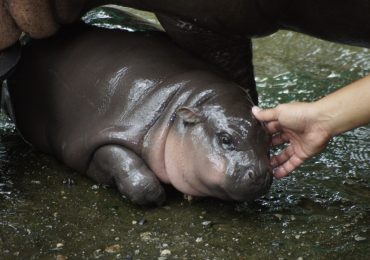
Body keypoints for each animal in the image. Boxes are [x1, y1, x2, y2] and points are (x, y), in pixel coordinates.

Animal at [5, 24, 272, 206]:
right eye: (225, 138)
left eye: (268, 137)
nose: (260, 174)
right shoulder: (107, 135)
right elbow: (133, 172)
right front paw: (157, 197)